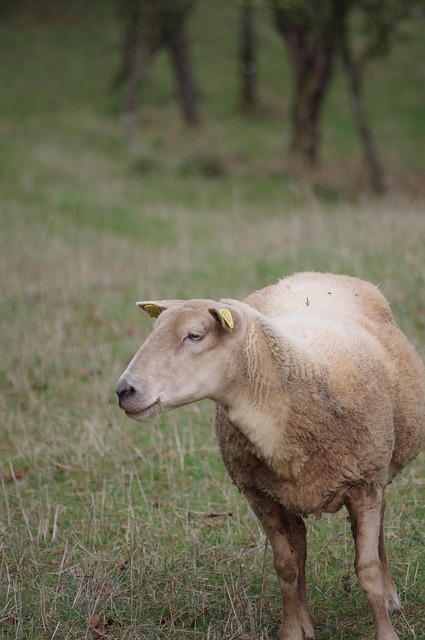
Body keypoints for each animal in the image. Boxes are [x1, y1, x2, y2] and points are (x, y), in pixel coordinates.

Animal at [116, 272, 425, 640]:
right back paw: (306, 620)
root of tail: (310, 274)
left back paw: (390, 597)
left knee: (374, 533)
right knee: (300, 546)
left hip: (376, 471)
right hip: (290, 491)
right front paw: (291, 630)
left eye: (194, 335)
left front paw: (386, 630)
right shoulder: (258, 494)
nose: (124, 391)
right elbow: (286, 564)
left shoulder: (365, 484)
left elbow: (367, 569)